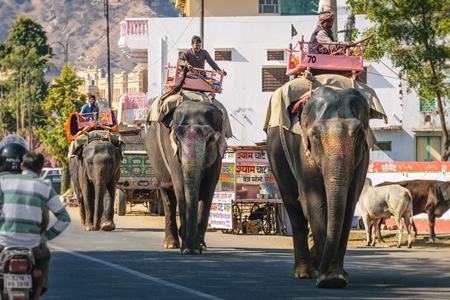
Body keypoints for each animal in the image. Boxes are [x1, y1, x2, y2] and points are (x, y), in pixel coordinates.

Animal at [268, 86, 370, 288]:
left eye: (359, 133)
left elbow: (348, 204)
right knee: (294, 209)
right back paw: (303, 273)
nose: (321, 266)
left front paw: (336, 276)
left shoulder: (362, 157)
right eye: (315, 134)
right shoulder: (302, 151)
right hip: (278, 164)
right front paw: (330, 278)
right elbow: (314, 202)